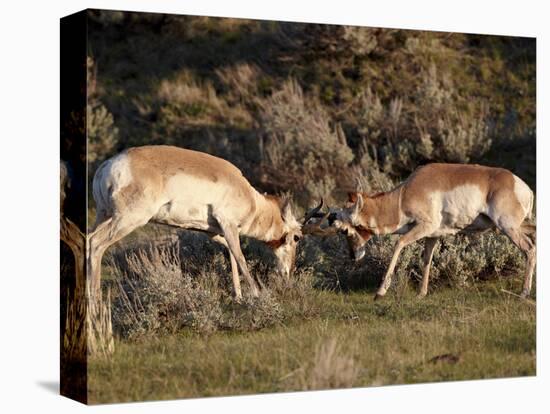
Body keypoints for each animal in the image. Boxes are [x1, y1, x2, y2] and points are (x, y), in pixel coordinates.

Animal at [90, 146, 306, 300]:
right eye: (297, 237)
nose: (288, 272)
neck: (251, 199)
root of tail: (106, 166)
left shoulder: (214, 231)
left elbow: (231, 254)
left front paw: (238, 296)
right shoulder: (228, 225)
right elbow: (241, 257)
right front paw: (257, 294)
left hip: (104, 216)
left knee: (88, 239)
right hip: (128, 219)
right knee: (96, 243)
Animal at [322, 163, 536, 300]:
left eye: (344, 230)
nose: (353, 256)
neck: (403, 195)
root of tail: (522, 186)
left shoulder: (425, 226)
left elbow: (399, 244)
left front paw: (380, 292)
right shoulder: (432, 236)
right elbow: (427, 259)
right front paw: (421, 294)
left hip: (507, 228)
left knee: (529, 248)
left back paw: (523, 293)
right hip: (512, 227)